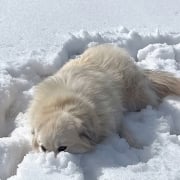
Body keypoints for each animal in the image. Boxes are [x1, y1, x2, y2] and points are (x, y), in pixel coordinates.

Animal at [27, 44, 180, 154]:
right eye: (43, 148)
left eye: (62, 148)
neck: (64, 103)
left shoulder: (114, 117)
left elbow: (126, 134)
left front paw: (136, 147)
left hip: (136, 98)